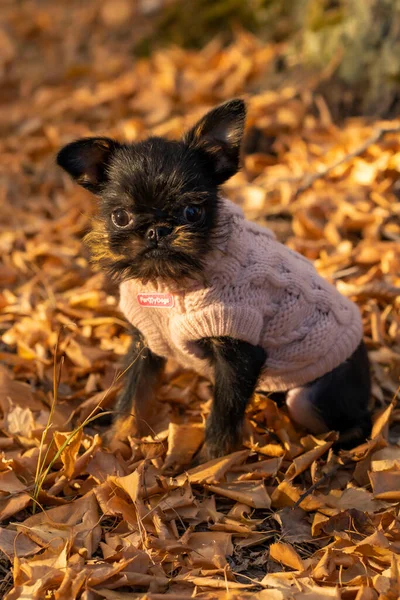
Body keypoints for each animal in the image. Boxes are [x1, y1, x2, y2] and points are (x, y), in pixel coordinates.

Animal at [57, 98, 372, 458]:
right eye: (120, 217)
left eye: (192, 212)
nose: (157, 230)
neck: (171, 282)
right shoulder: (145, 344)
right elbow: (132, 398)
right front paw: (114, 443)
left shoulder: (239, 355)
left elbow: (222, 418)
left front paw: (211, 464)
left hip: (310, 398)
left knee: (359, 422)